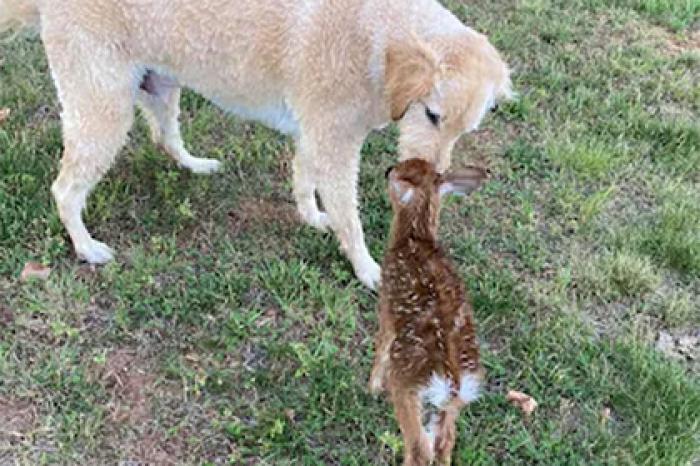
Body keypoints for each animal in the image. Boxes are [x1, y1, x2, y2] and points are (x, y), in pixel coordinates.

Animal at [2, 0, 512, 290]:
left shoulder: (316, 135)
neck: (381, 37)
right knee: (65, 190)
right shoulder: (334, 144)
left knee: (164, 137)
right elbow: (350, 218)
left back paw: (196, 165)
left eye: (464, 131)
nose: (433, 182)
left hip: (160, 86)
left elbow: (305, 179)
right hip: (103, 111)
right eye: (432, 115)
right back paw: (87, 248)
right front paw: (367, 269)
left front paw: (312, 217)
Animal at [370, 158, 490, 464]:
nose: (387, 170)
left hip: (407, 386)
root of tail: (452, 381)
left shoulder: (386, 307)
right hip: (451, 406)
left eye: (400, 172)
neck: (416, 236)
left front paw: (371, 388)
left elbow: (381, 346)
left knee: (420, 447)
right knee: (446, 441)